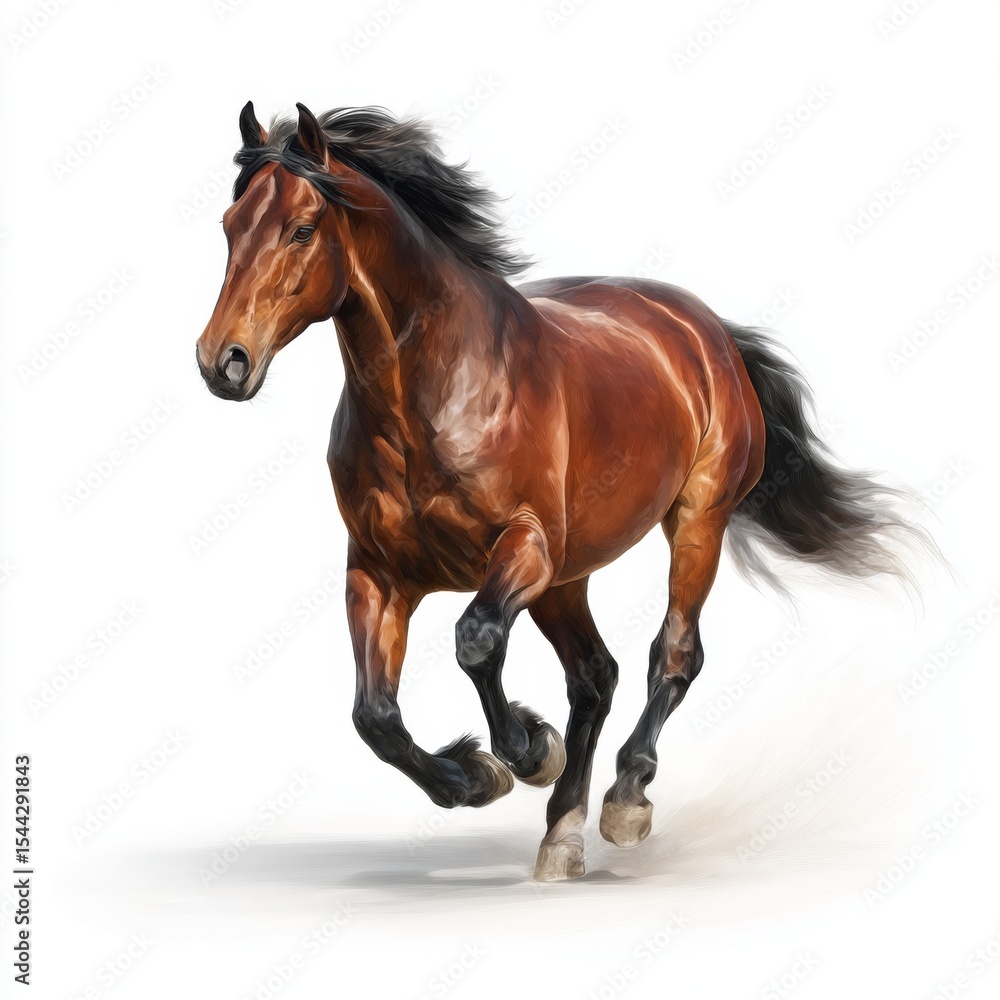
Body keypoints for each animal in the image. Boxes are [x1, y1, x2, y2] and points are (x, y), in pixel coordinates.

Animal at [195, 102, 924, 881]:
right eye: (230, 224)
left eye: (302, 228)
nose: (223, 362)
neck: (433, 395)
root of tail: (705, 331)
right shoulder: (379, 572)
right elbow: (375, 717)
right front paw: (474, 776)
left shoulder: (526, 548)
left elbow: (475, 640)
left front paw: (525, 751)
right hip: (568, 578)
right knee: (594, 675)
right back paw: (562, 832)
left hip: (693, 523)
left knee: (672, 654)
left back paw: (624, 799)